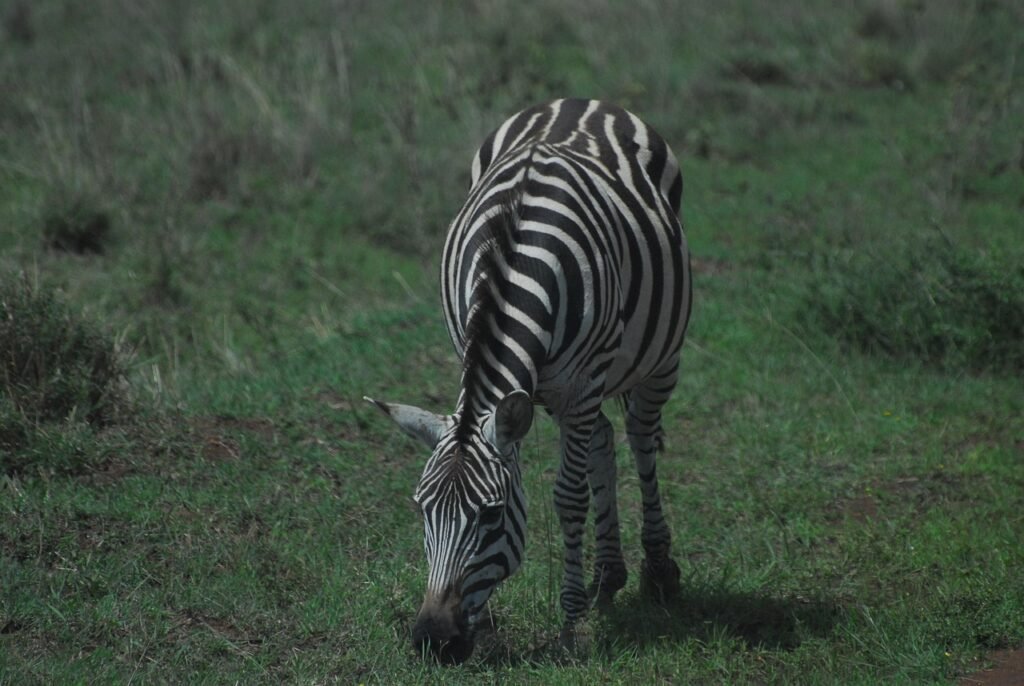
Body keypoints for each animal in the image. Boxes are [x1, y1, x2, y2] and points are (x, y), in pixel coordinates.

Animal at [366, 98, 691, 663]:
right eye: (422, 510)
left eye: (492, 517)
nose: (434, 641)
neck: (514, 260)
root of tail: (583, 100)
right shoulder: (500, 369)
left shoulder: (581, 386)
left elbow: (568, 497)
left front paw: (572, 626)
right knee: (604, 441)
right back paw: (608, 576)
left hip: (655, 358)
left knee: (641, 437)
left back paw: (657, 571)